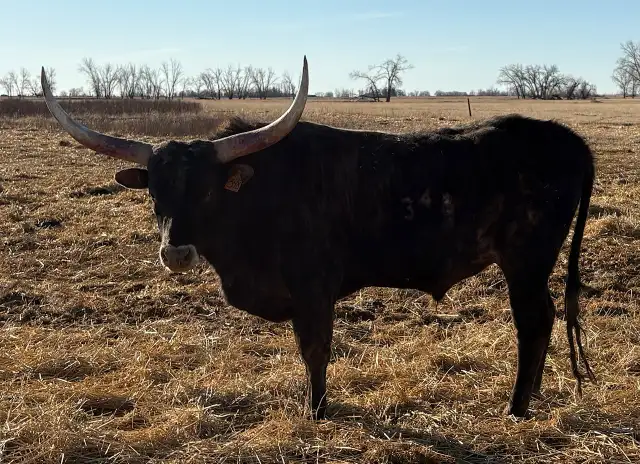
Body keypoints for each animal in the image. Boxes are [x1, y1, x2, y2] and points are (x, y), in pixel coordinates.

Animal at [40, 57, 596, 420]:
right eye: (155, 191)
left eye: (208, 191)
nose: (176, 252)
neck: (259, 194)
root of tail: (565, 138)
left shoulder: (314, 290)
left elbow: (315, 349)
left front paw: (317, 410)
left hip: (526, 262)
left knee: (534, 322)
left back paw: (517, 408)